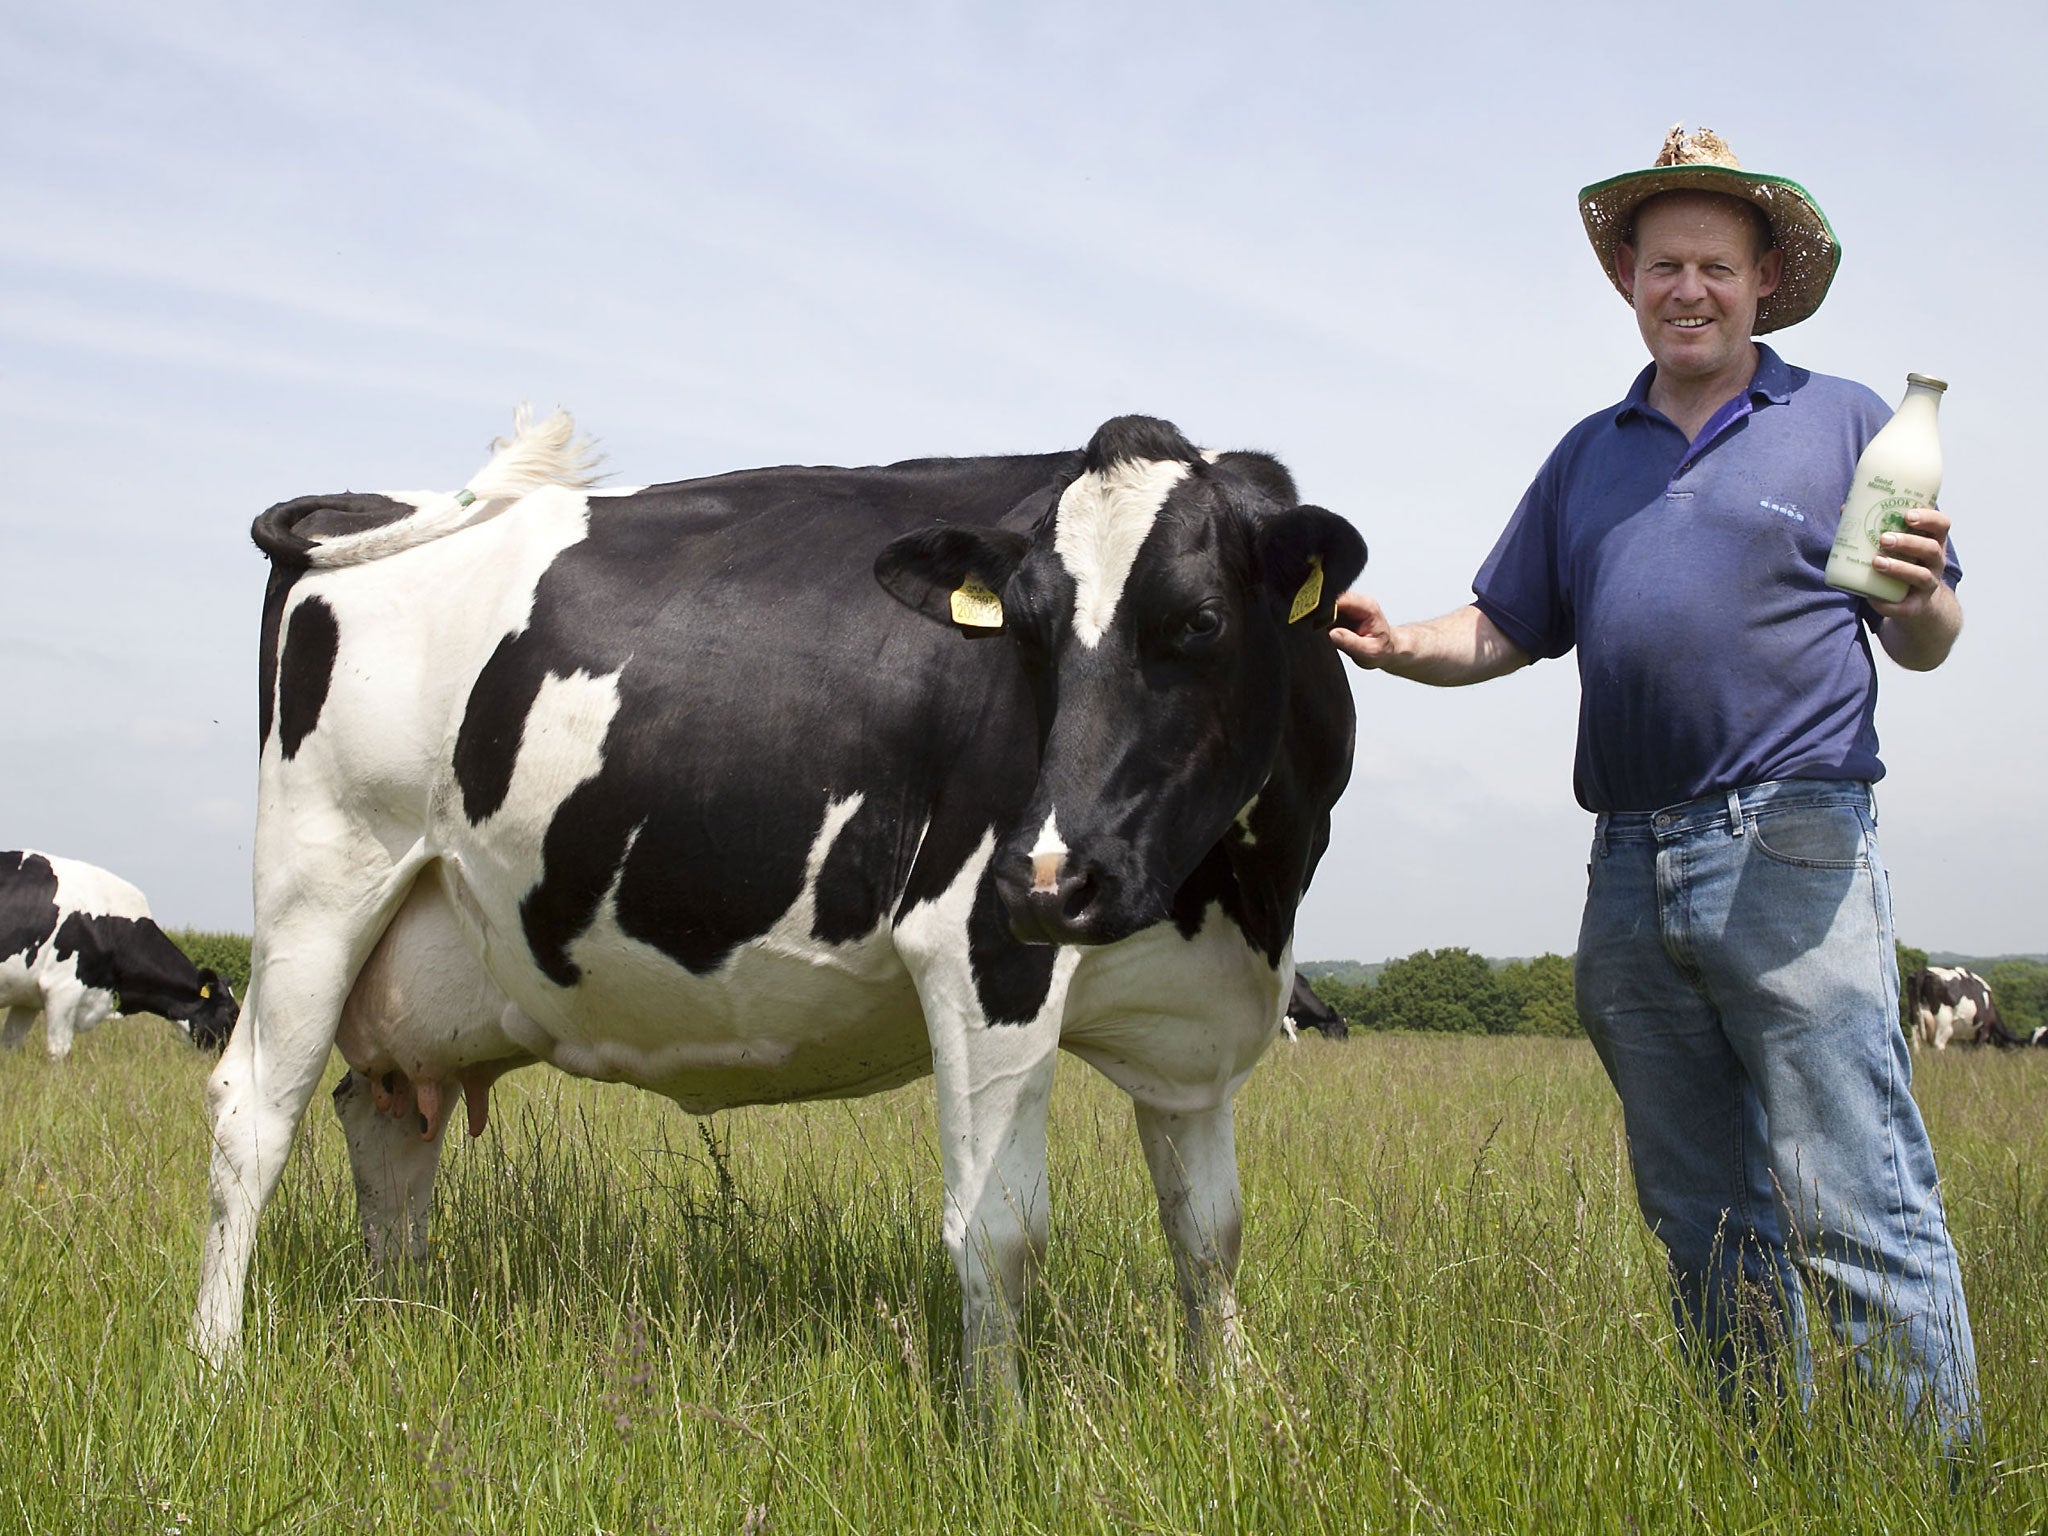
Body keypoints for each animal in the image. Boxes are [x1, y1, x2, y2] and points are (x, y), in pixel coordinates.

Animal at [192, 405, 1368, 1409]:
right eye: (1026, 637)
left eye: (1200, 623)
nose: (1046, 878)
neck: (1236, 899)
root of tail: (369, 502)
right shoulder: (974, 949)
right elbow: (1000, 1233)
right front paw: (1003, 1441)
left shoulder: (1197, 1012)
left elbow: (1208, 1231)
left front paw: (1234, 1409)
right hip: (318, 882)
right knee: (253, 1118)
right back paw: (219, 1364)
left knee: (386, 1120)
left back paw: (396, 1323)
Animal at [1900, 966, 2031, 1056]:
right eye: (2013, 1047)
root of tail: (1923, 971)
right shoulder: (1983, 1031)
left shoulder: (1966, 1041)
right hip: (1944, 1022)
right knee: (1939, 1044)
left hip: (1914, 1018)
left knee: (1916, 1043)